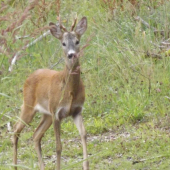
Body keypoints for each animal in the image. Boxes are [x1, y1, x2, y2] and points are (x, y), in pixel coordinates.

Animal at [12, 16, 89, 170]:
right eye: (63, 43)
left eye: (77, 41)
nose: (71, 55)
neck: (70, 91)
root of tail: (29, 77)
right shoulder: (56, 112)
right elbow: (58, 146)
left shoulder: (77, 110)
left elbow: (83, 134)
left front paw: (86, 165)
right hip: (29, 107)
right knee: (16, 130)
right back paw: (15, 165)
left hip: (46, 114)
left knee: (36, 135)